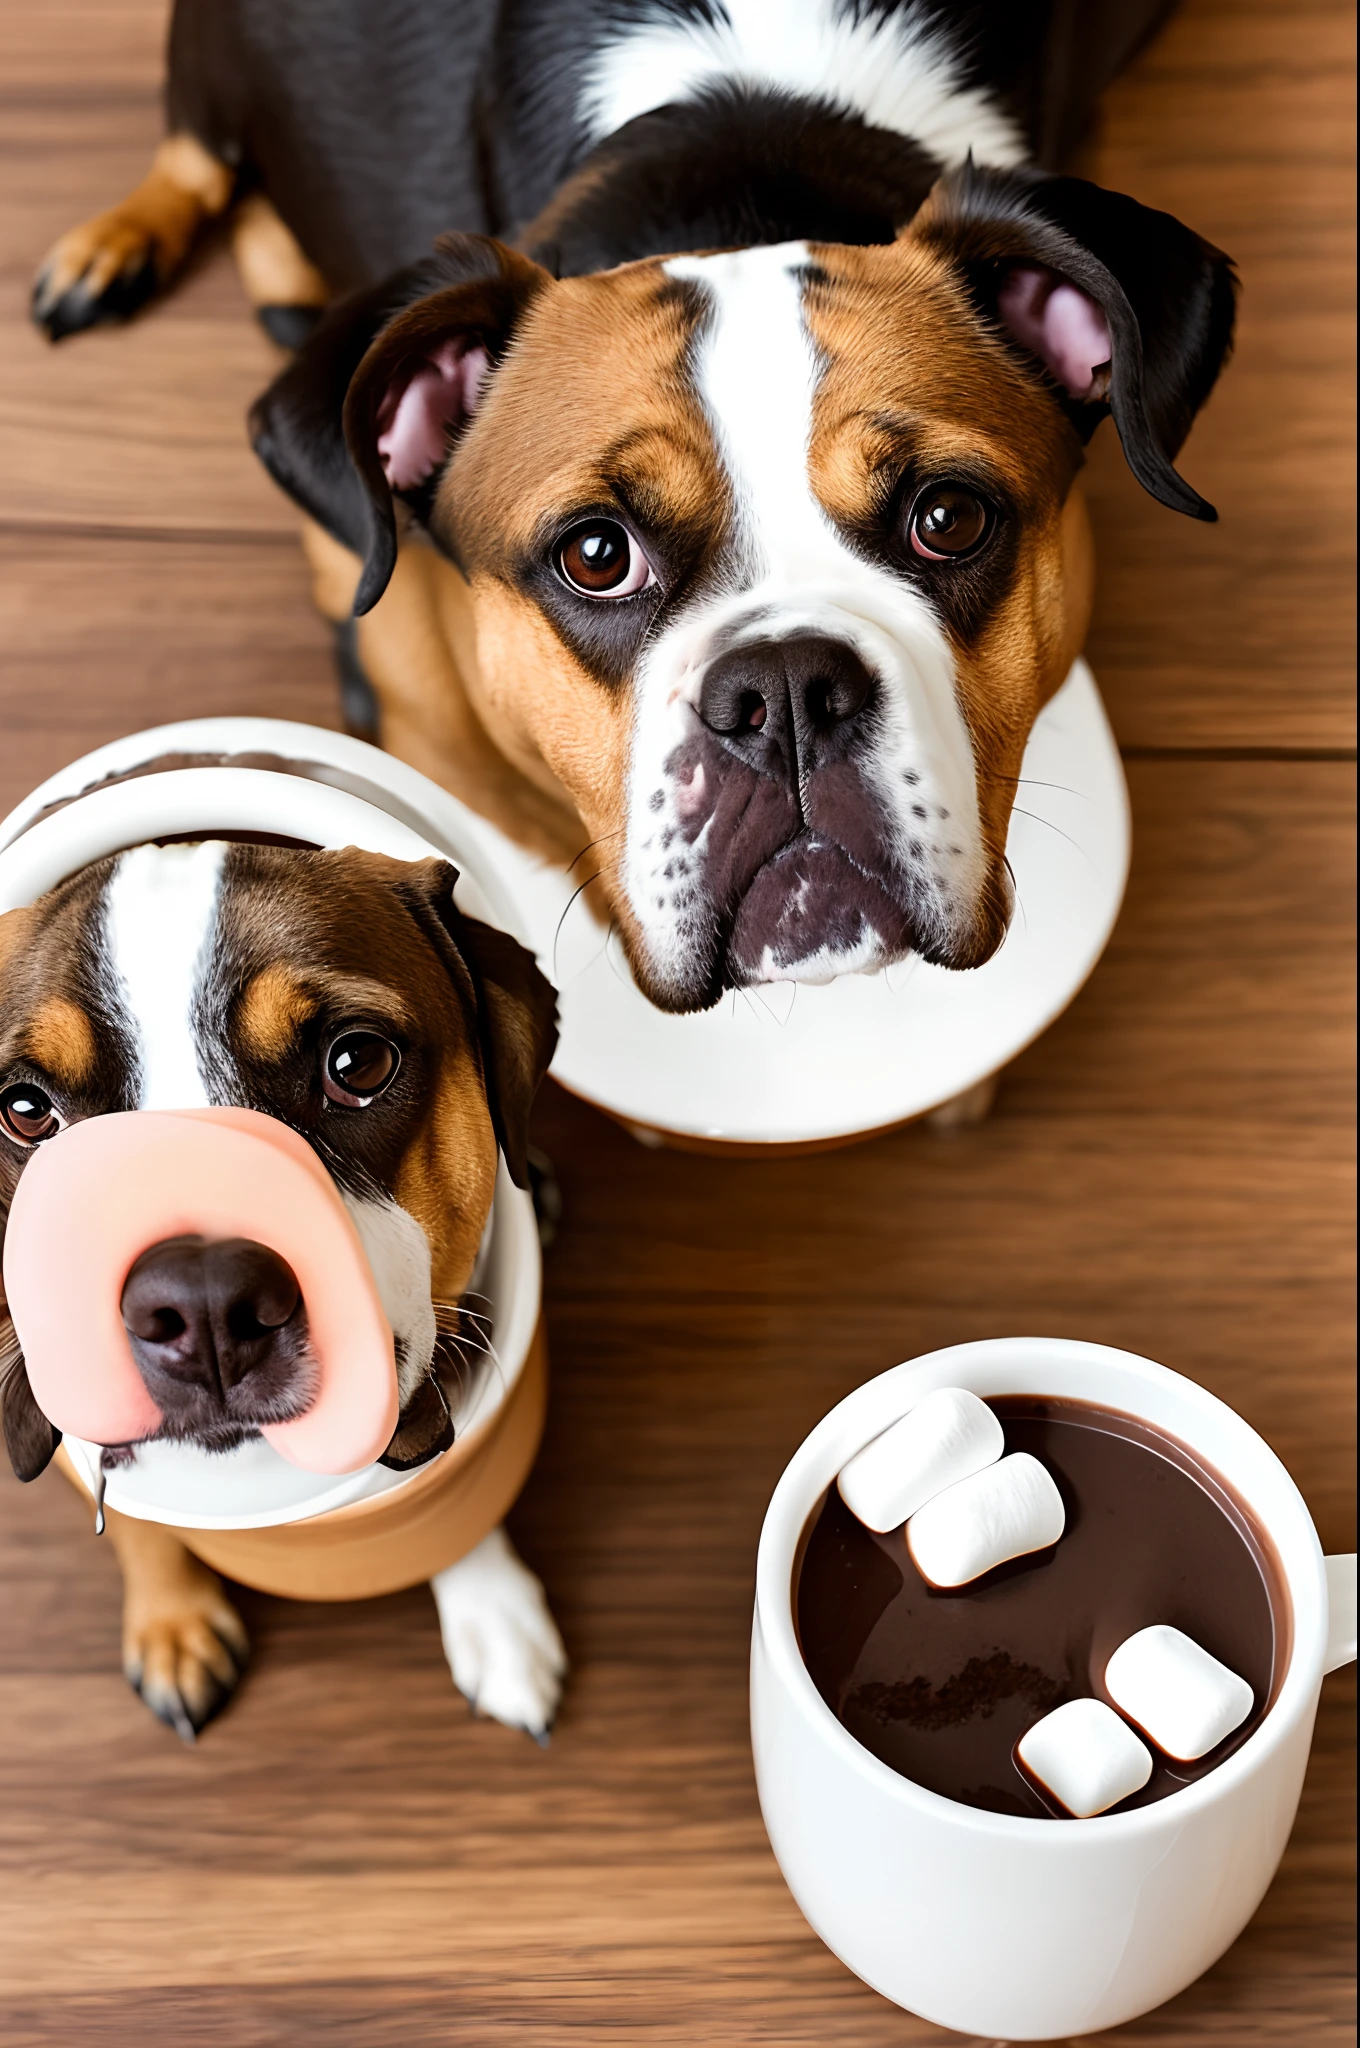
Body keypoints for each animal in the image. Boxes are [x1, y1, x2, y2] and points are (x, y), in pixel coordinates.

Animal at [0, 806, 565, 1736]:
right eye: (24, 1110)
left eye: (355, 1063)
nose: (203, 1305)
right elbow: (134, 1521)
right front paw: (173, 1624)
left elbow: (452, 1501)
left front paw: (493, 1613)